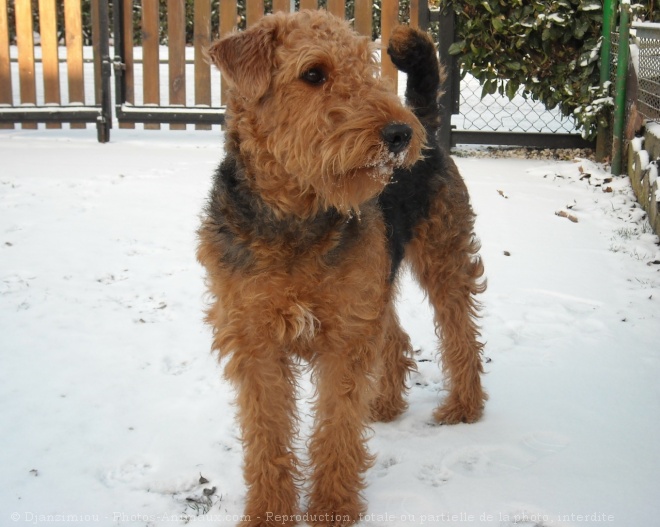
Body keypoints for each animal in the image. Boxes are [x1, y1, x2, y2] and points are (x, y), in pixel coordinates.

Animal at [196, 9, 484, 527]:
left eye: (365, 65)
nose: (399, 135)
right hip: (376, 286)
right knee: (399, 339)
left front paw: (332, 508)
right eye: (314, 74)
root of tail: (428, 121)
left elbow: (335, 430)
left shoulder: (342, 339)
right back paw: (386, 404)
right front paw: (268, 512)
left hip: (442, 262)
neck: (294, 218)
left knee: (461, 336)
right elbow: (267, 436)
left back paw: (464, 407)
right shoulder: (256, 342)